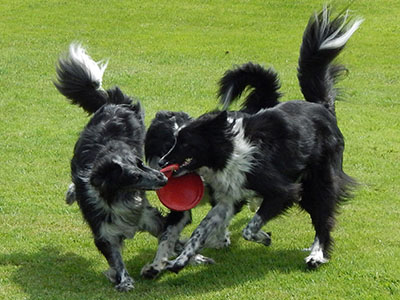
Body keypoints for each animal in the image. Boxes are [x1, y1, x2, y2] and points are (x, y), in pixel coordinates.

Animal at [54, 44, 167, 290]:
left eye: (141, 164)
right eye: (133, 177)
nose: (163, 178)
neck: (120, 198)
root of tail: (112, 103)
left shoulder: (148, 216)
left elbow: (172, 238)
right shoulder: (104, 233)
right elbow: (116, 259)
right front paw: (124, 281)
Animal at [141, 62, 282, 278]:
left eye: (185, 145)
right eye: (166, 143)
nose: (164, 163)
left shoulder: (230, 196)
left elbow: (217, 226)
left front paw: (216, 242)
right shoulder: (180, 209)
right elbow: (167, 235)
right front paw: (157, 265)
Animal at [158, 6, 360, 274]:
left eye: (185, 143)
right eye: (174, 140)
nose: (162, 163)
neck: (229, 152)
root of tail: (322, 107)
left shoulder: (283, 191)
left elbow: (250, 228)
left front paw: (263, 237)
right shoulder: (228, 199)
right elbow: (200, 231)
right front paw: (181, 259)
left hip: (318, 181)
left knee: (323, 218)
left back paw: (317, 254)